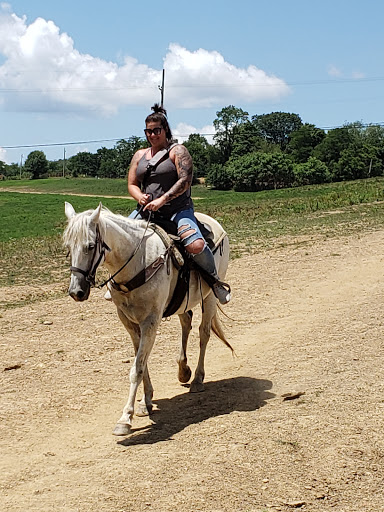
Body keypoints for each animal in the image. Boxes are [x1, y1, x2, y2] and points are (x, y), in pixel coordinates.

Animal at [63, 202, 231, 434]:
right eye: (68, 247)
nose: (76, 291)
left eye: (90, 246)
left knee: (203, 333)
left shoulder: (150, 321)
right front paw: (146, 401)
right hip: (183, 302)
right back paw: (183, 370)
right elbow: (141, 360)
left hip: (210, 297)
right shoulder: (129, 321)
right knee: (186, 323)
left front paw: (125, 418)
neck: (137, 262)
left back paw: (197, 379)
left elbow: (137, 368)